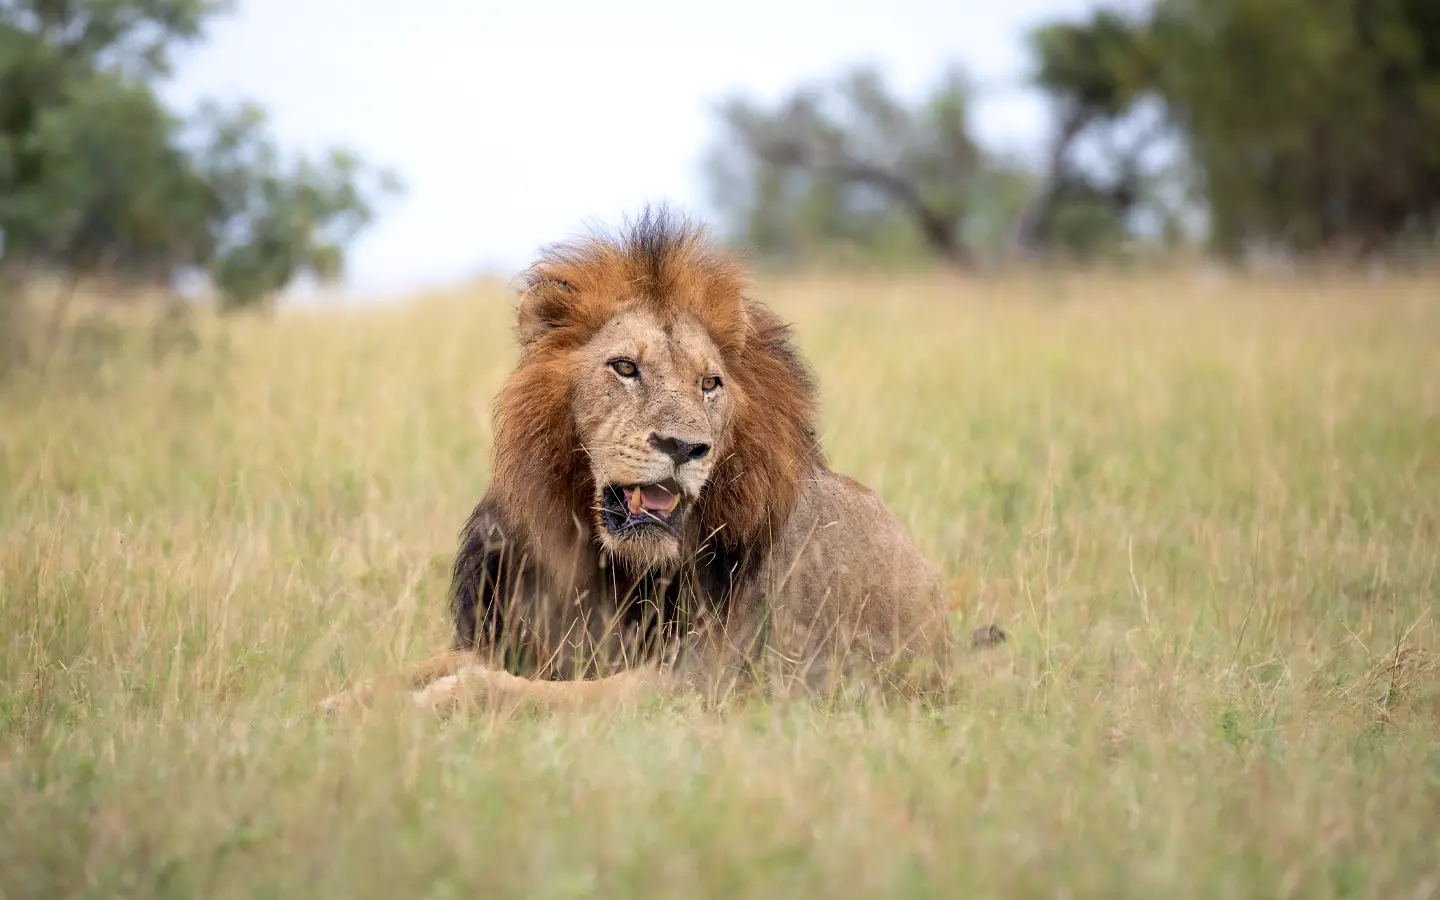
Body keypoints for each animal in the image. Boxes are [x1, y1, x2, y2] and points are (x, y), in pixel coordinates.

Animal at [321, 206, 1003, 718]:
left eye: (710, 384)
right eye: (625, 367)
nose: (683, 448)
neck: (600, 557)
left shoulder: (695, 684)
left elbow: (506, 692)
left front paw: (425, 707)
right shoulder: (523, 638)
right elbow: (419, 667)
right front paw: (332, 704)